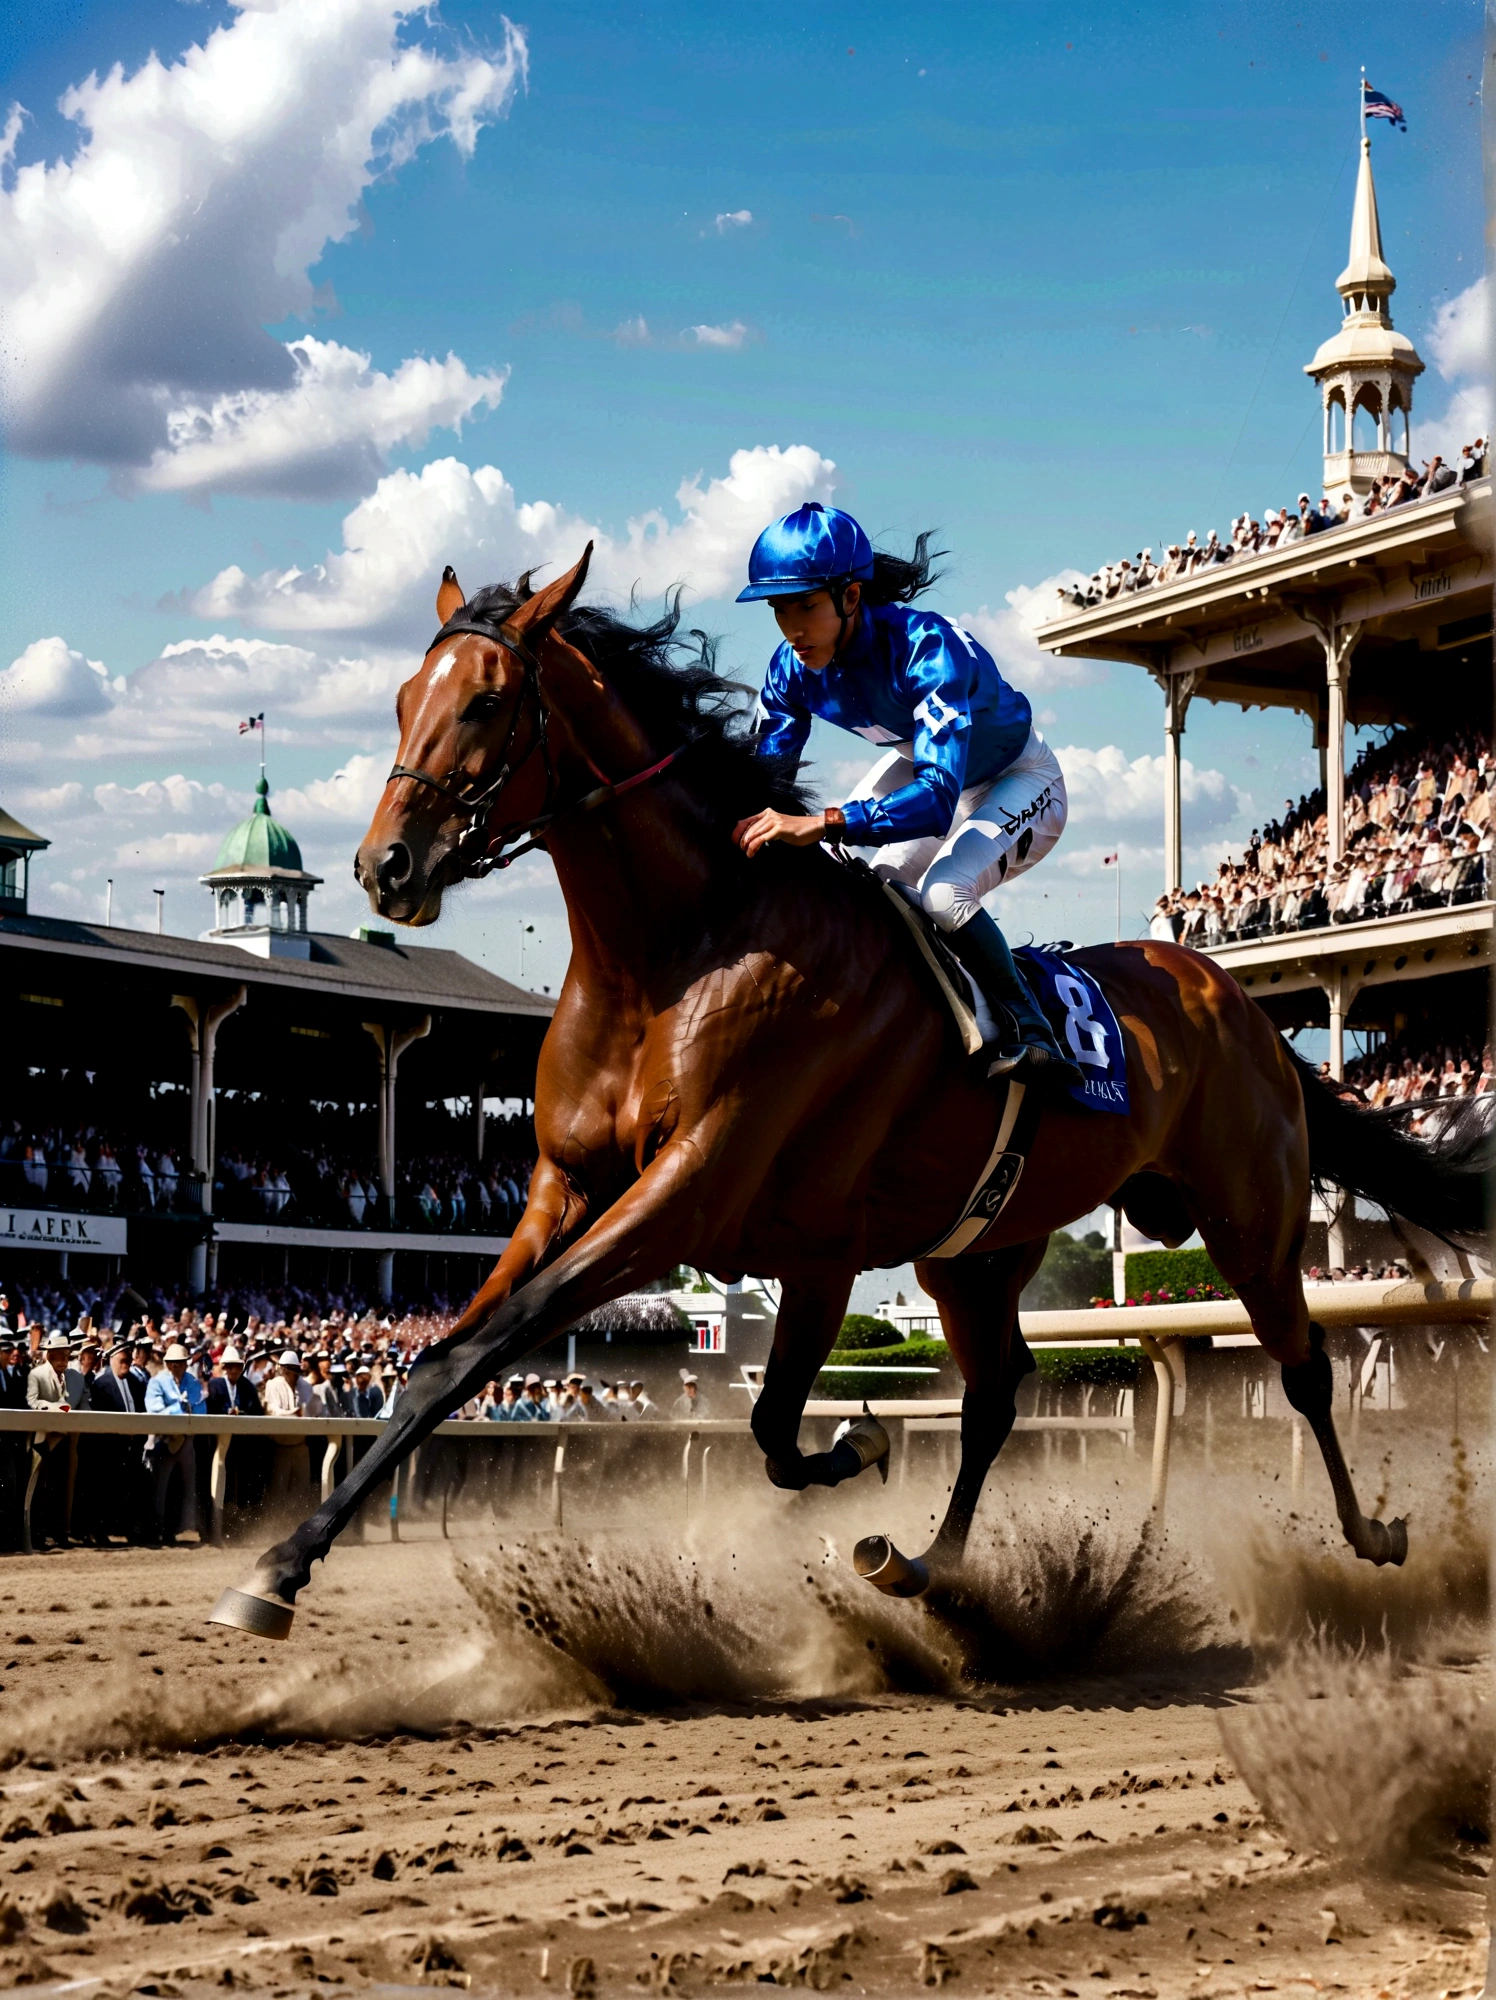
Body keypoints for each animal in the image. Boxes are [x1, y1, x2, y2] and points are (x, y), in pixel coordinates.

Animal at [210, 552, 1488, 1640]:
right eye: (394, 699)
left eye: (482, 703)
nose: (386, 866)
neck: (675, 948)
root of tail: (1230, 992)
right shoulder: (583, 1190)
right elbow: (455, 1363)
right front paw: (273, 1568)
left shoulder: (702, 1198)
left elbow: (582, 1362)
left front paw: (859, 1442)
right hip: (974, 1252)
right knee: (996, 1395)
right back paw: (931, 1565)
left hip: (1248, 1213)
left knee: (1302, 1367)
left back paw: (1371, 1531)